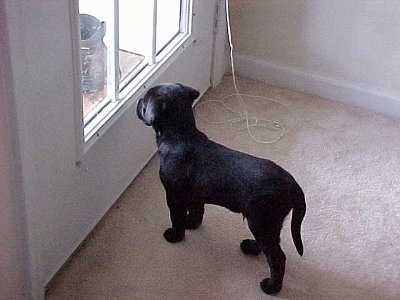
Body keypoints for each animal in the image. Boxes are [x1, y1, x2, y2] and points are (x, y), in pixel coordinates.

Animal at [138, 82, 306, 296]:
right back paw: (251, 247)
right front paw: (191, 224)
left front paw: (176, 235)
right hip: (269, 224)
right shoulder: (195, 196)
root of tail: (293, 184)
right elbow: (196, 212)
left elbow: (176, 218)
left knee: (277, 258)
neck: (181, 134)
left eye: (144, 101)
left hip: (261, 222)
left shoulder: (173, 195)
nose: (137, 101)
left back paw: (271, 287)